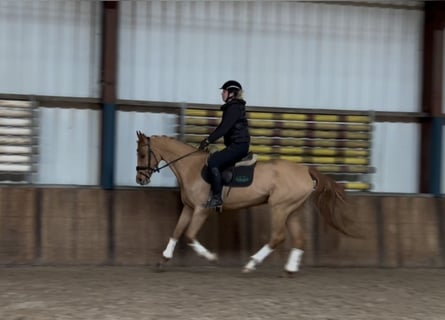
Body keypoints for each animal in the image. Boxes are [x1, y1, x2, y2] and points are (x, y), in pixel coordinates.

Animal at [135, 132, 354, 276]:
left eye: (143, 154)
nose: (140, 179)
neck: (191, 168)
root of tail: (305, 170)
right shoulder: (189, 208)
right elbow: (176, 231)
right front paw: (163, 259)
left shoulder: (201, 210)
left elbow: (189, 235)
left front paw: (211, 258)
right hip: (292, 210)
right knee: (299, 238)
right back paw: (289, 269)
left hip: (279, 207)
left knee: (278, 237)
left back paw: (250, 264)